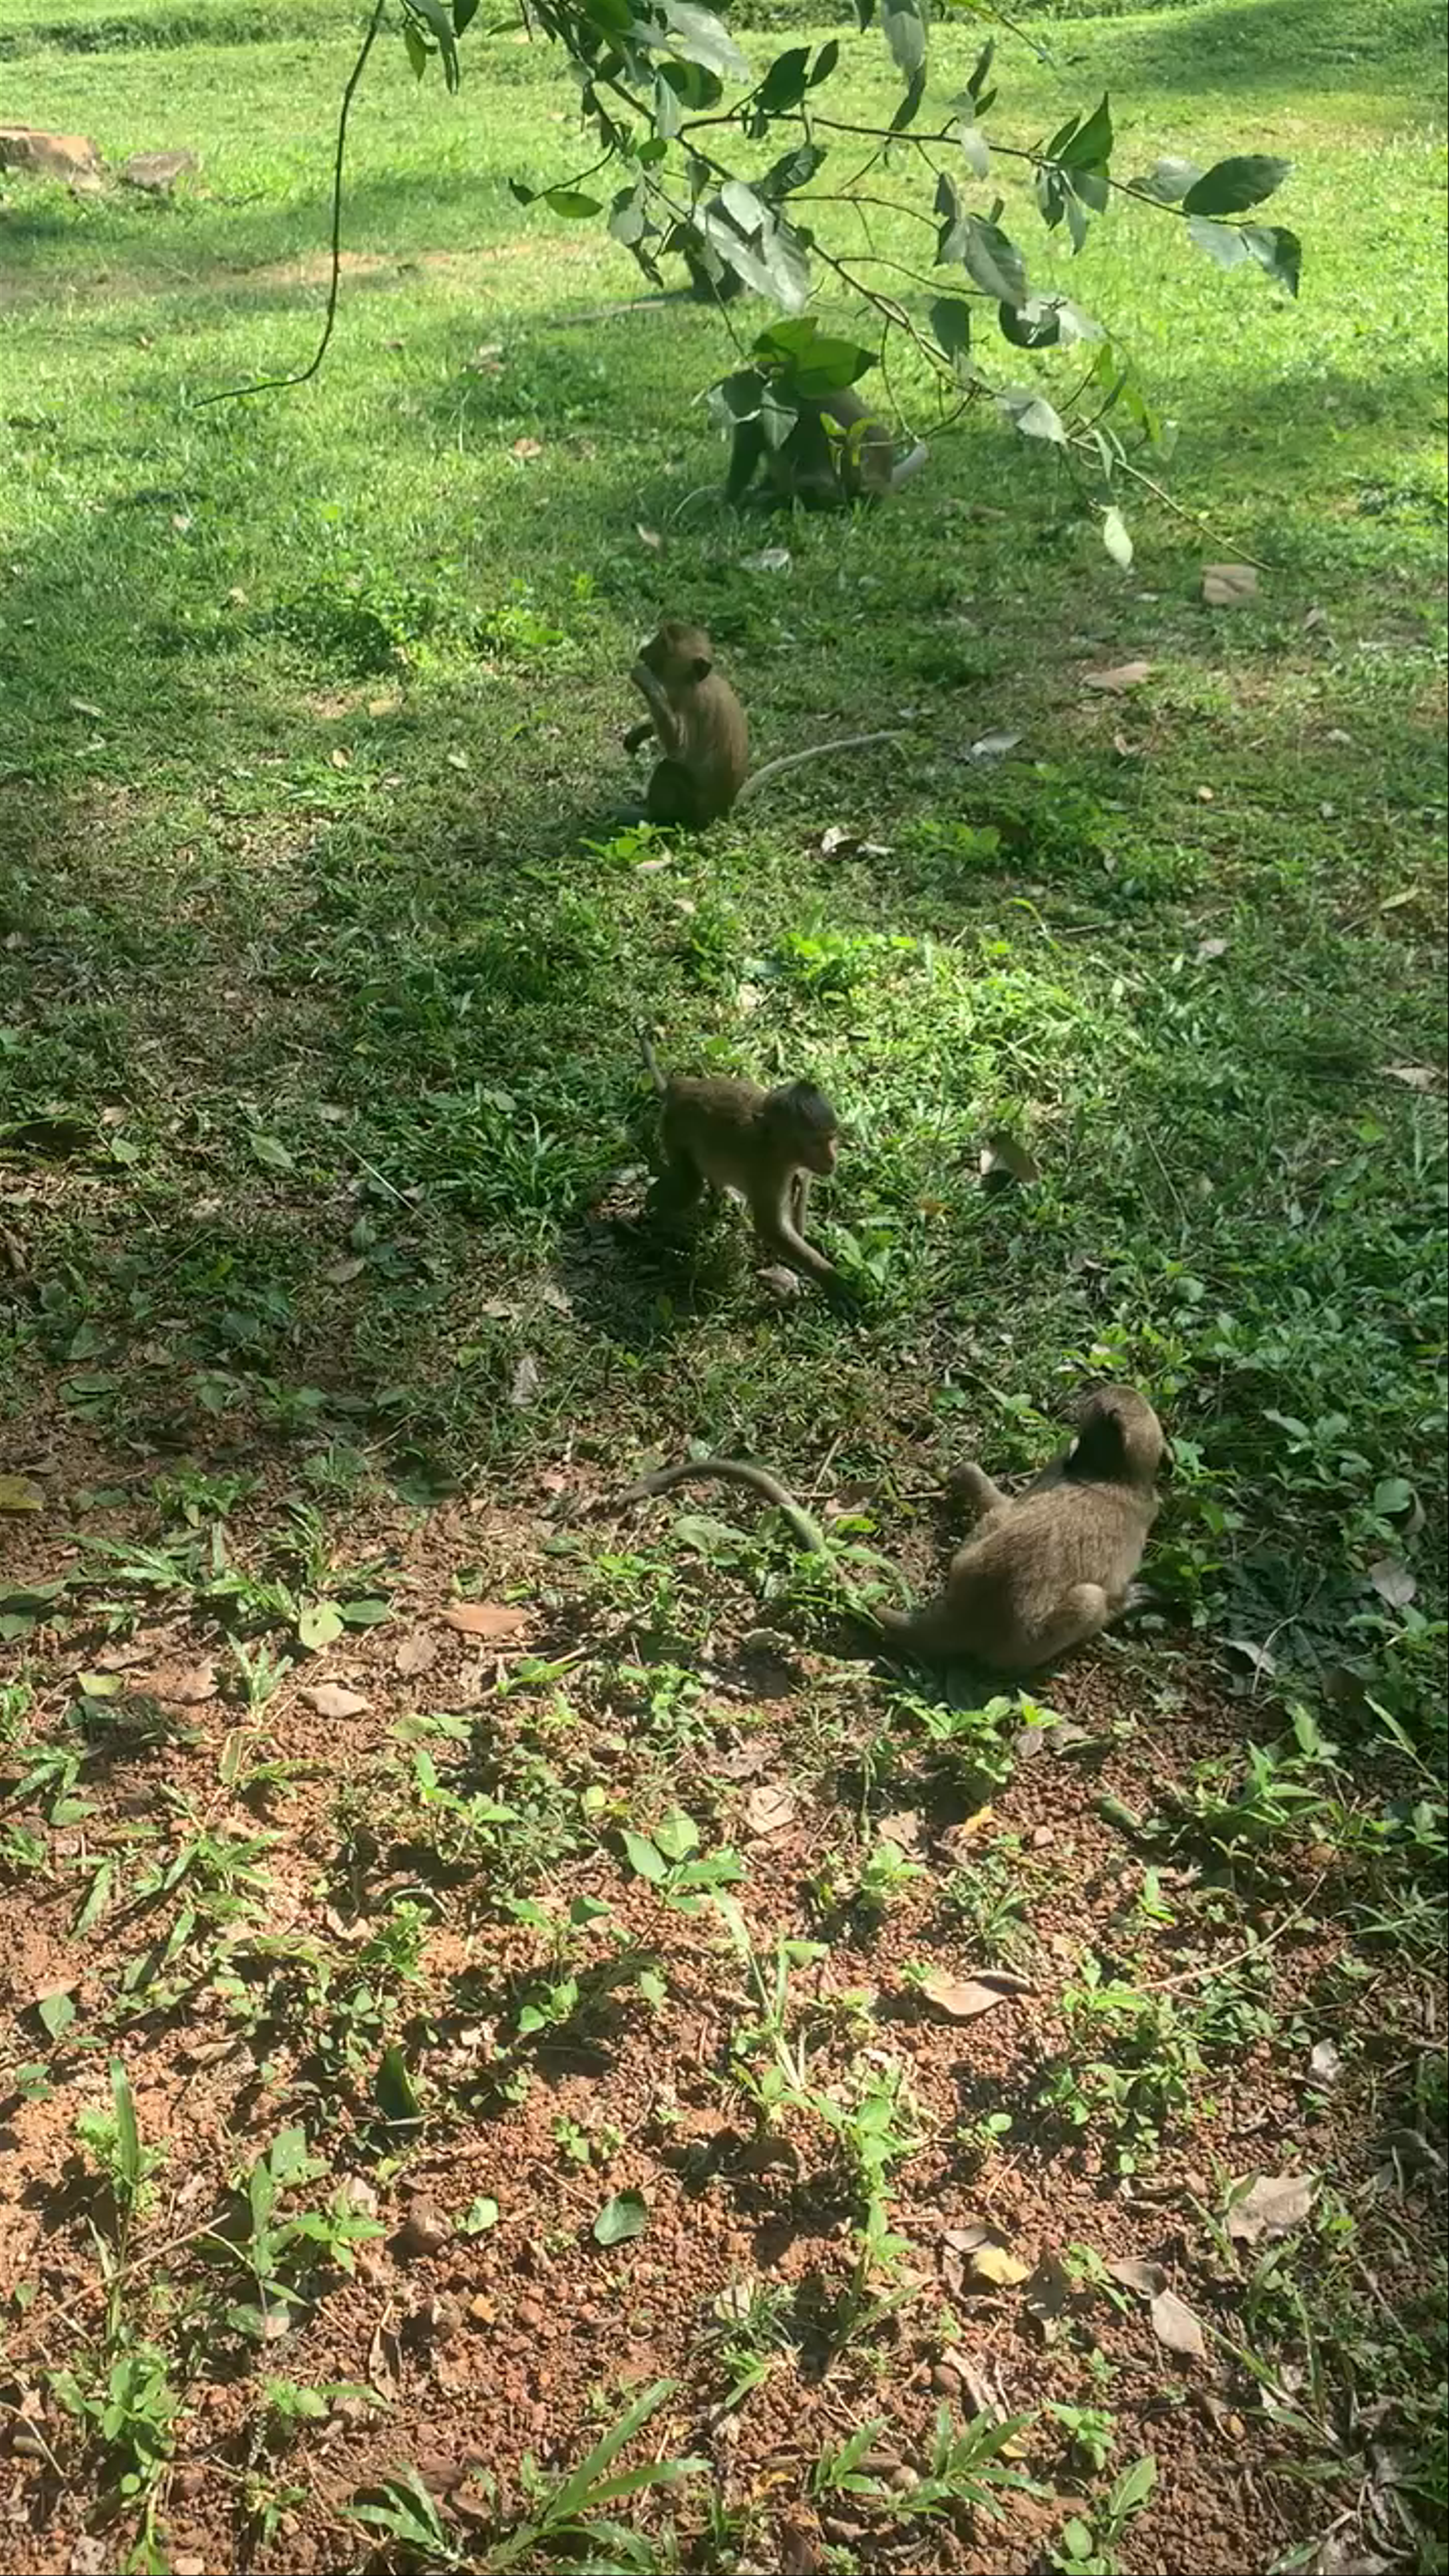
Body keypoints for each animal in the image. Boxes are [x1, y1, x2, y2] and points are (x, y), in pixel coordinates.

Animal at [612, 1386, 1164, 1672]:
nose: (1089, 1393)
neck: (1112, 1475)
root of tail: (965, 1616)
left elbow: (1003, 1508)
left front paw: (967, 1478)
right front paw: (1125, 1602)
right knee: (1085, 1601)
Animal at [624, 620, 750, 828]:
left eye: (664, 644)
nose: (643, 651)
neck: (693, 682)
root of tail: (723, 812)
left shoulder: (693, 704)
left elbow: (677, 748)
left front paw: (645, 679)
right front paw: (639, 733)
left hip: (695, 809)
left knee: (669, 770)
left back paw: (652, 820)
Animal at [636, 1025, 845, 1293]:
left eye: (832, 1138)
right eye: (816, 1143)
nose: (832, 1161)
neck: (779, 1147)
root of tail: (679, 1088)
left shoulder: (801, 1167)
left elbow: (802, 1191)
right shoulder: (770, 1172)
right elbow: (772, 1229)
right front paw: (834, 1280)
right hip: (674, 1129)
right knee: (689, 1189)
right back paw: (652, 1217)